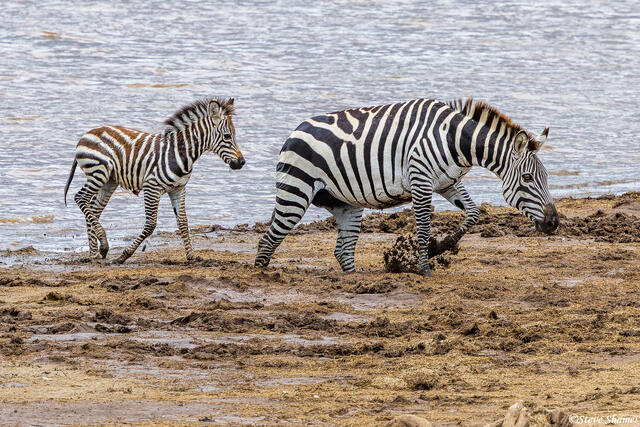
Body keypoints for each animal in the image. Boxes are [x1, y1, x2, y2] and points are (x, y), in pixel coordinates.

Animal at [64, 97, 244, 264]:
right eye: (227, 136)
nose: (242, 162)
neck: (180, 153)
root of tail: (87, 133)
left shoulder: (178, 189)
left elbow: (183, 222)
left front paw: (192, 256)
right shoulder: (152, 187)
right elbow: (151, 225)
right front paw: (123, 256)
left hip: (109, 180)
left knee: (94, 208)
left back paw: (96, 252)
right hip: (98, 172)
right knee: (81, 198)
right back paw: (102, 245)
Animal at [255, 98, 558, 276]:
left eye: (546, 177)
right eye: (528, 179)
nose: (554, 222)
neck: (455, 141)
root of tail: (293, 133)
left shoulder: (448, 182)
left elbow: (473, 213)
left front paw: (442, 246)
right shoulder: (420, 181)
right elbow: (423, 229)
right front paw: (424, 268)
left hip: (347, 207)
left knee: (343, 251)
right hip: (295, 194)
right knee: (268, 240)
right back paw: (261, 274)